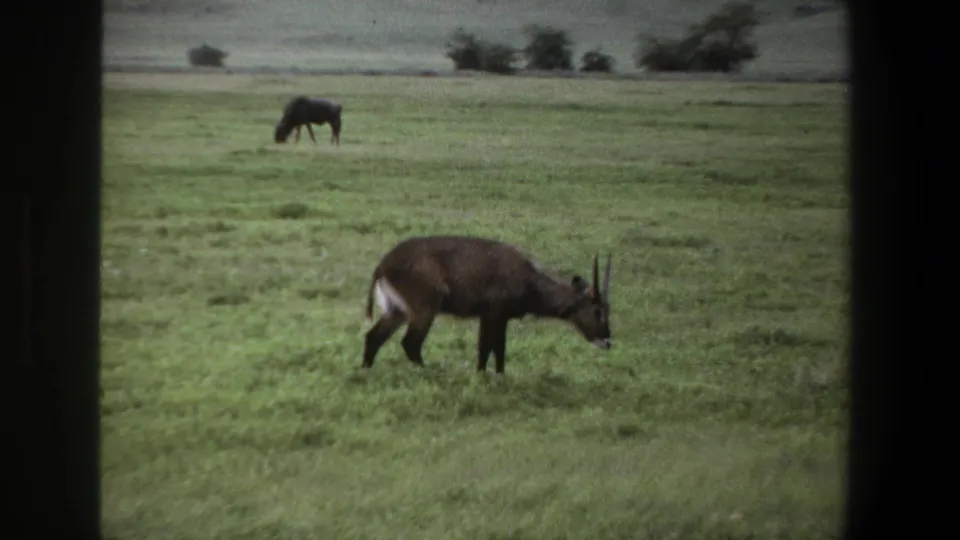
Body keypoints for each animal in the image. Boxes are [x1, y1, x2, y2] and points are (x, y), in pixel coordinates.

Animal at [362, 235, 612, 374]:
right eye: (597, 310)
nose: (608, 340)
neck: (528, 279)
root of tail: (383, 264)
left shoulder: (497, 317)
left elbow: (498, 350)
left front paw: (498, 378)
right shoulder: (492, 314)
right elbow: (486, 349)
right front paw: (482, 378)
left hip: (397, 311)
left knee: (373, 337)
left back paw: (366, 372)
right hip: (424, 309)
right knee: (411, 343)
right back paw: (430, 373)